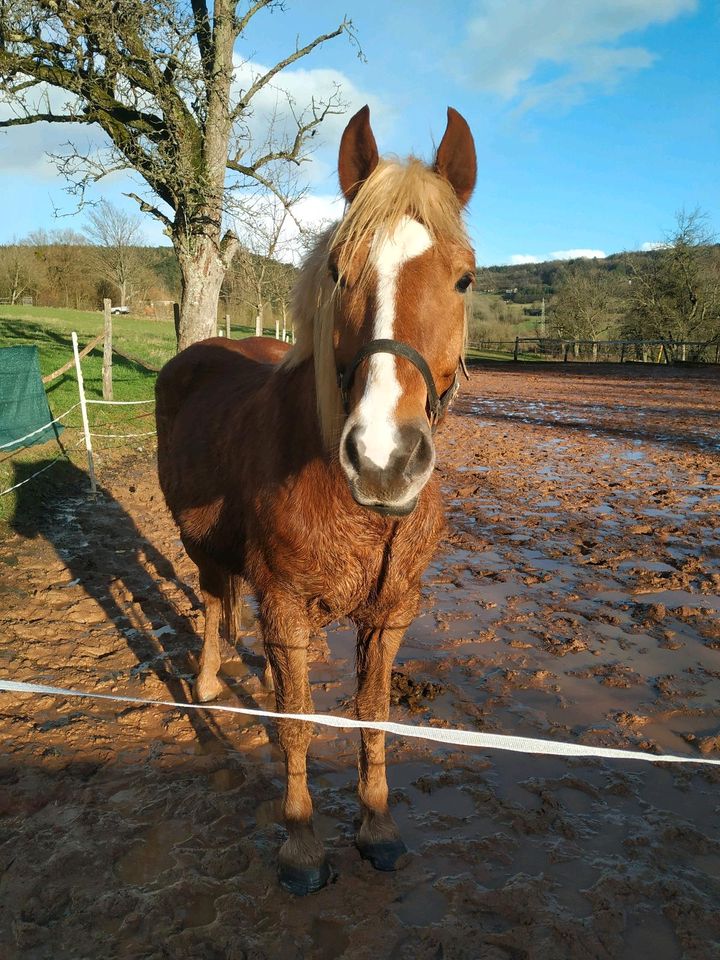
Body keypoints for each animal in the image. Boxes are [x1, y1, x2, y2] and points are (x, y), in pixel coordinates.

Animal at [155, 105, 476, 892]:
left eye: (462, 280)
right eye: (338, 271)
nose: (385, 460)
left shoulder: (391, 613)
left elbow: (372, 715)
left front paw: (377, 826)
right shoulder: (285, 600)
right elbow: (299, 719)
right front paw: (301, 841)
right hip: (200, 545)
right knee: (211, 600)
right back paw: (208, 684)